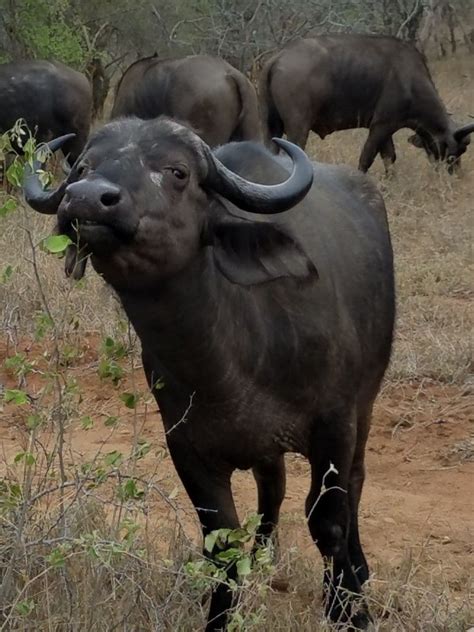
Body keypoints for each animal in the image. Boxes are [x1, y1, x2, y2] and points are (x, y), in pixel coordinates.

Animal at [24, 116, 396, 628]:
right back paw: (264, 557)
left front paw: (347, 608)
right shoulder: (187, 446)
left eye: (177, 172)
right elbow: (221, 541)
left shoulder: (335, 425)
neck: (229, 361)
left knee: (354, 484)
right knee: (273, 486)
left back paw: (358, 568)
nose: (84, 198)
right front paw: (221, 614)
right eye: (83, 167)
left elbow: (329, 520)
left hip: (367, 404)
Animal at [260, 34, 474, 173]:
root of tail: (278, 57)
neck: (411, 81)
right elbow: (367, 158)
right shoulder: (381, 126)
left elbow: (389, 157)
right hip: (298, 128)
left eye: (464, 150)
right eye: (454, 153)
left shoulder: (386, 129)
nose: (454, 174)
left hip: (272, 127)